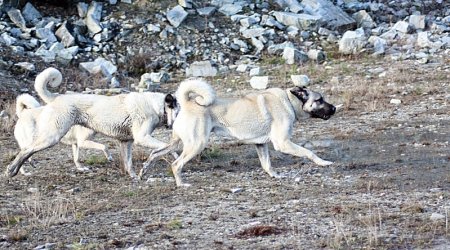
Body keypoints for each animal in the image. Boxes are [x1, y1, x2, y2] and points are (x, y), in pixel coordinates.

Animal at [5, 67, 178, 179]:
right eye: (179, 110)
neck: (157, 106)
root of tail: (57, 97)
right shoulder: (142, 138)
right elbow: (167, 147)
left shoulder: (126, 142)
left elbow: (129, 163)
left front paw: (135, 176)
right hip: (51, 136)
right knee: (26, 150)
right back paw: (12, 170)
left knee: (28, 151)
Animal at [139, 79, 336, 187]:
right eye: (319, 100)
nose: (334, 108)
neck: (289, 101)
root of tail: (187, 103)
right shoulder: (283, 143)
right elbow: (309, 152)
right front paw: (323, 162)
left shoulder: (261, 144)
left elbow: (267, 164)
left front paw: (274, 175)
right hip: (196, 144)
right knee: (176, 164)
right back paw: (181, 184)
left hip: (177, 143)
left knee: (155, 153)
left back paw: (143, 172)